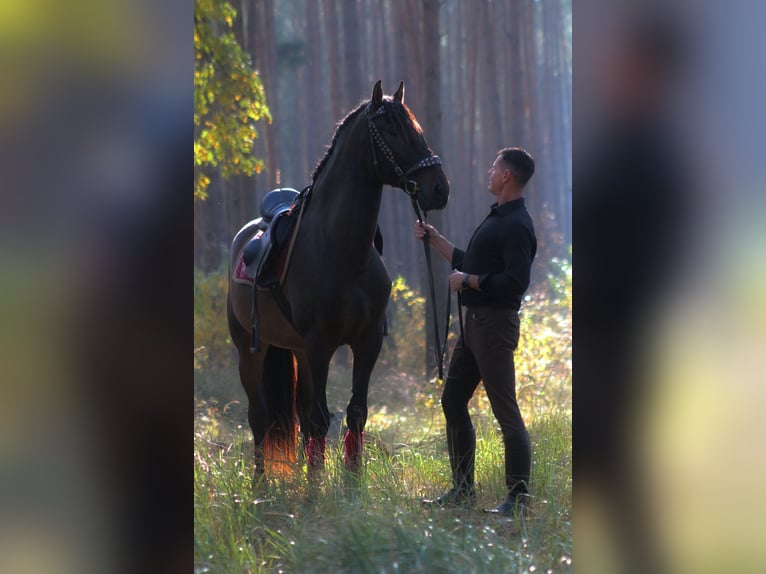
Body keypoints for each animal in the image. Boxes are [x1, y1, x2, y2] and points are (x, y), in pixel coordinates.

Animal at [227, 81, 449, 480]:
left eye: (418, 129)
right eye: (393, 131)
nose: (439, 189)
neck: (343, 252)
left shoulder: (367, 341)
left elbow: (355, 414)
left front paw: (350, 484)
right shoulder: (320, 344)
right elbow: (319, 419)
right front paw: (318, 489)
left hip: (296, 350)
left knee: (298, 415)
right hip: (251, 349)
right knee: (260, 417)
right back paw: (262, 484)